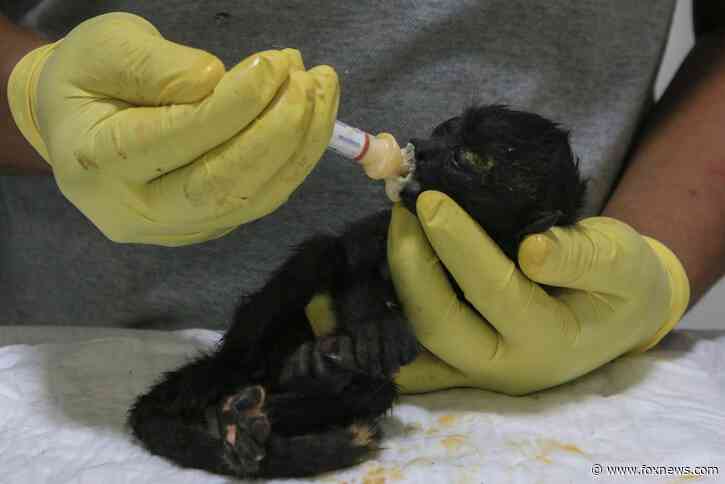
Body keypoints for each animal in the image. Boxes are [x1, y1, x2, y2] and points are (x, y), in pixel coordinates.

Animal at [127, 105, 587, 478]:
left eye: (469, 157)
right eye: (445, 128)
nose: (422, 146)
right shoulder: (383, 228)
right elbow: (353, 256)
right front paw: (377, 325)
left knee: (373, 389)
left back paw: (283, 394)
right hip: (252, 340)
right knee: (317, 255)